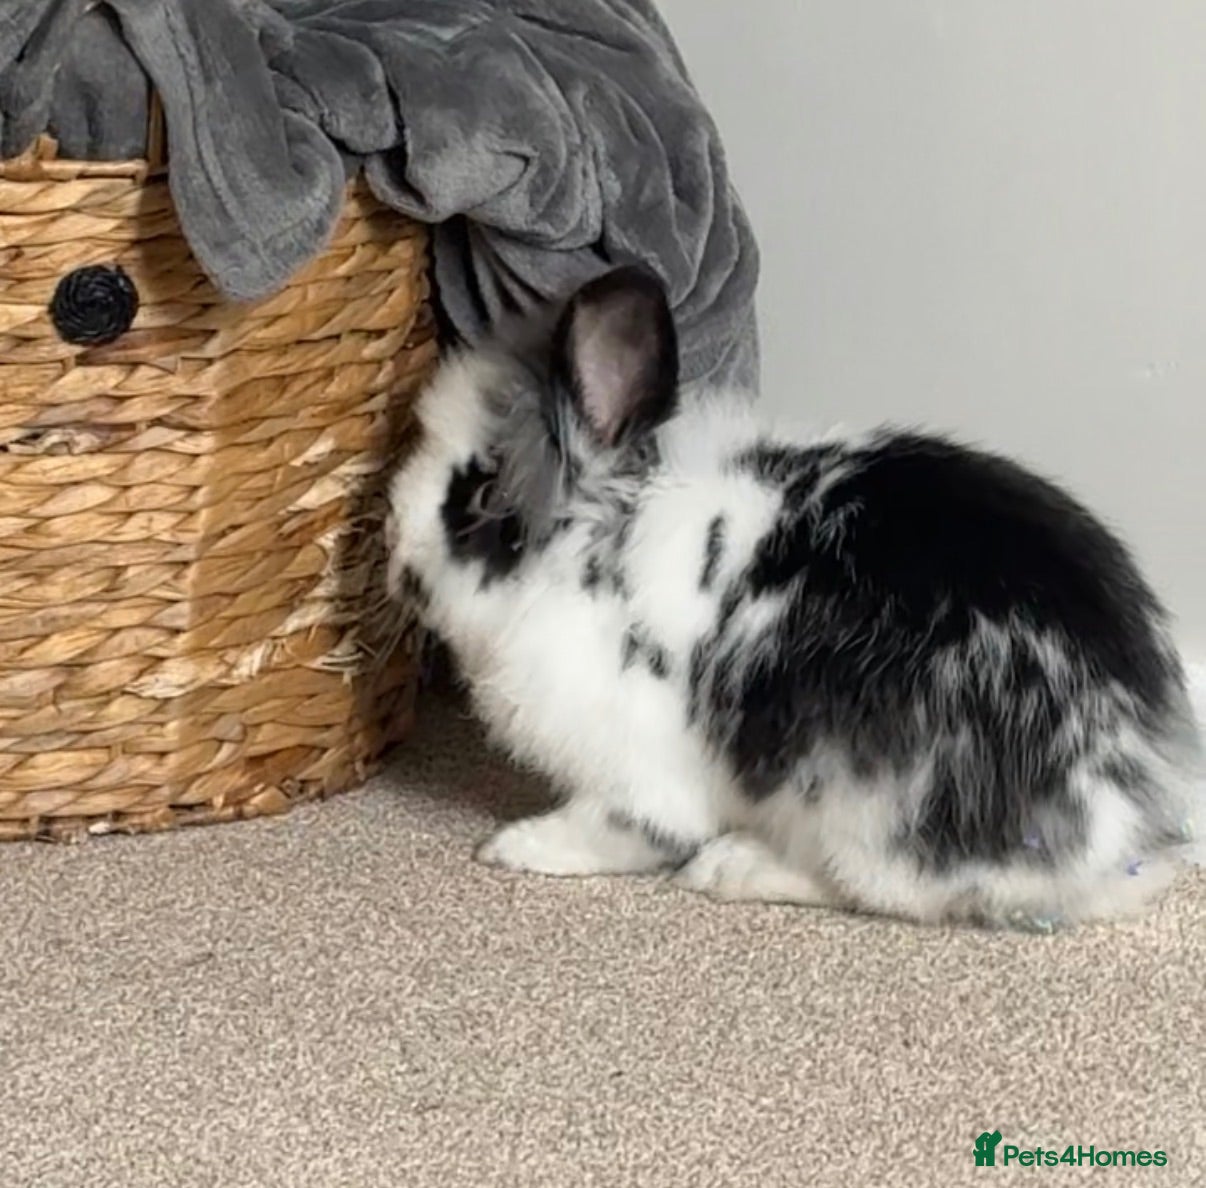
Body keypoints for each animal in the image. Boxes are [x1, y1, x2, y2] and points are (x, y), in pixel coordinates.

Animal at [385, 264, 1203, 930]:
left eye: (482, 495)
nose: (394, 556)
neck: (599, 545)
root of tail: (1141, 803)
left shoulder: (635, 775)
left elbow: (619, 830)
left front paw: (514, 846)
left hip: (862, 810)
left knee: (887, 892)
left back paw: (733, 867)